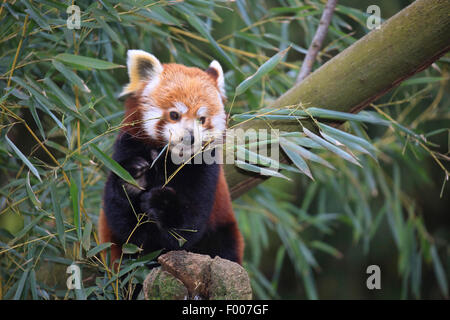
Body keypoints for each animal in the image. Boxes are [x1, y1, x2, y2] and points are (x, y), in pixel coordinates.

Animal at [98, 50, 244, 270]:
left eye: (202, 119)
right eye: (174, 115)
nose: (190, 138)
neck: (167, 158)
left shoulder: (205, 170)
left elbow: (186, 228)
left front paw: (161, 202)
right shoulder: (126, 147)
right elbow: (123, 223)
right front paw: (133, 180)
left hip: (223, 230)